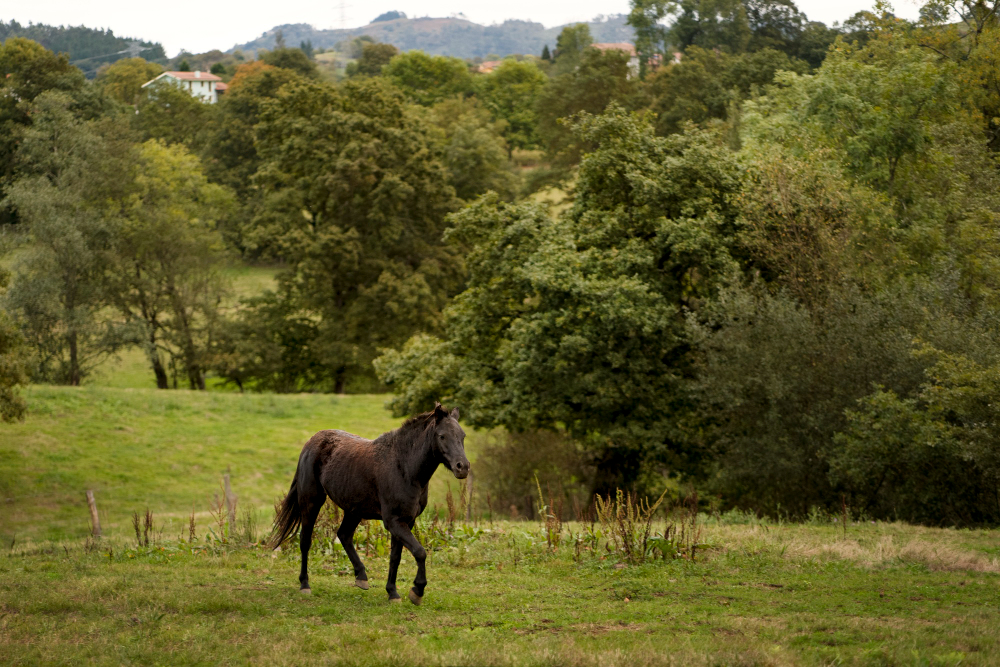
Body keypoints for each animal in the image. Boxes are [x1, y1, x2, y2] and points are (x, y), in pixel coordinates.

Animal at [268, 402, 470, 605]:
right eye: (442, 436)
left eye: (462, 436)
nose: (463, 467)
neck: (403, 467)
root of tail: (311, 443)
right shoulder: (394, 521)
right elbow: (420, 552)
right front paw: (417, 591)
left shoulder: (406, 521)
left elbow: (396, 557)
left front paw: (393, 593)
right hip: (311, 502)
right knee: (305, 540)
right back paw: (305, 585)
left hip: (353, 510)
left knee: (344, 535)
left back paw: (361, 577)